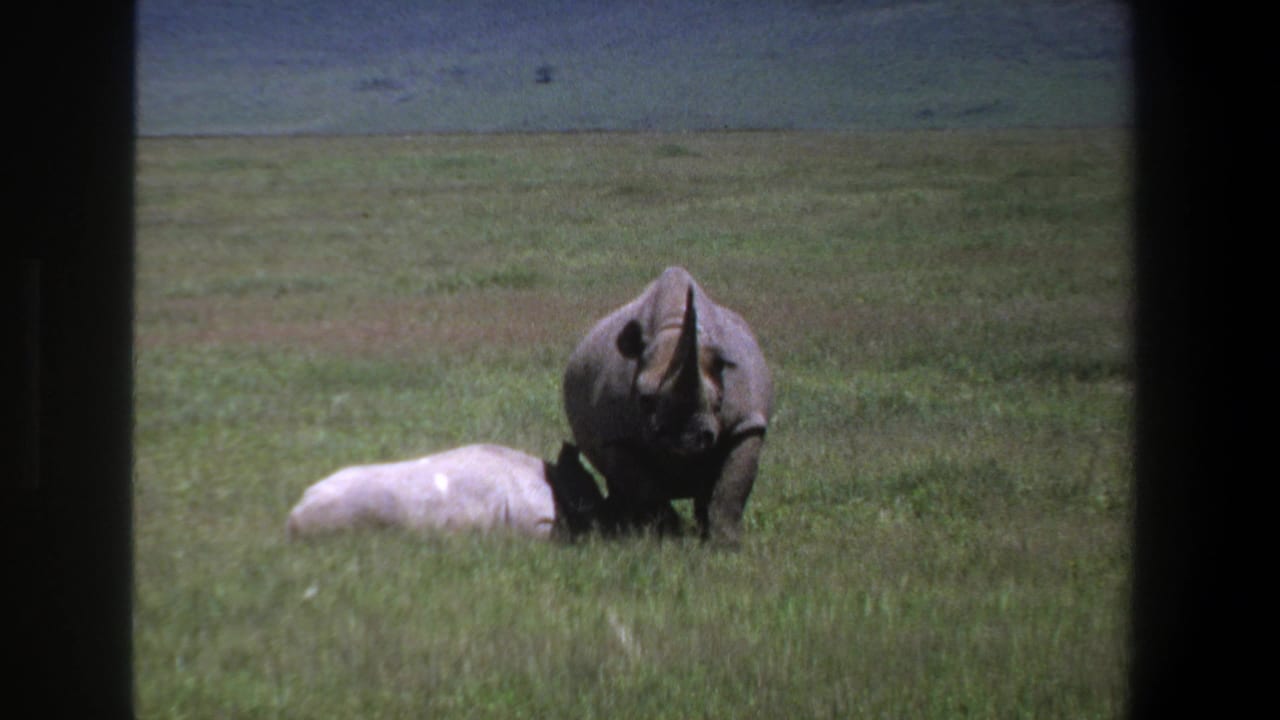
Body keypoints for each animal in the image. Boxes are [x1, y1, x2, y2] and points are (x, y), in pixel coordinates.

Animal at [563, 266, 773, 545]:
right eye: (644, 400)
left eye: (719, 401)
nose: (685, 440)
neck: (673, 327)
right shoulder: (617, 437)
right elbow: (646, 490)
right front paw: (669, 539)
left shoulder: (746, 422)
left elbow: (732, 489)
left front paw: (725, 544)